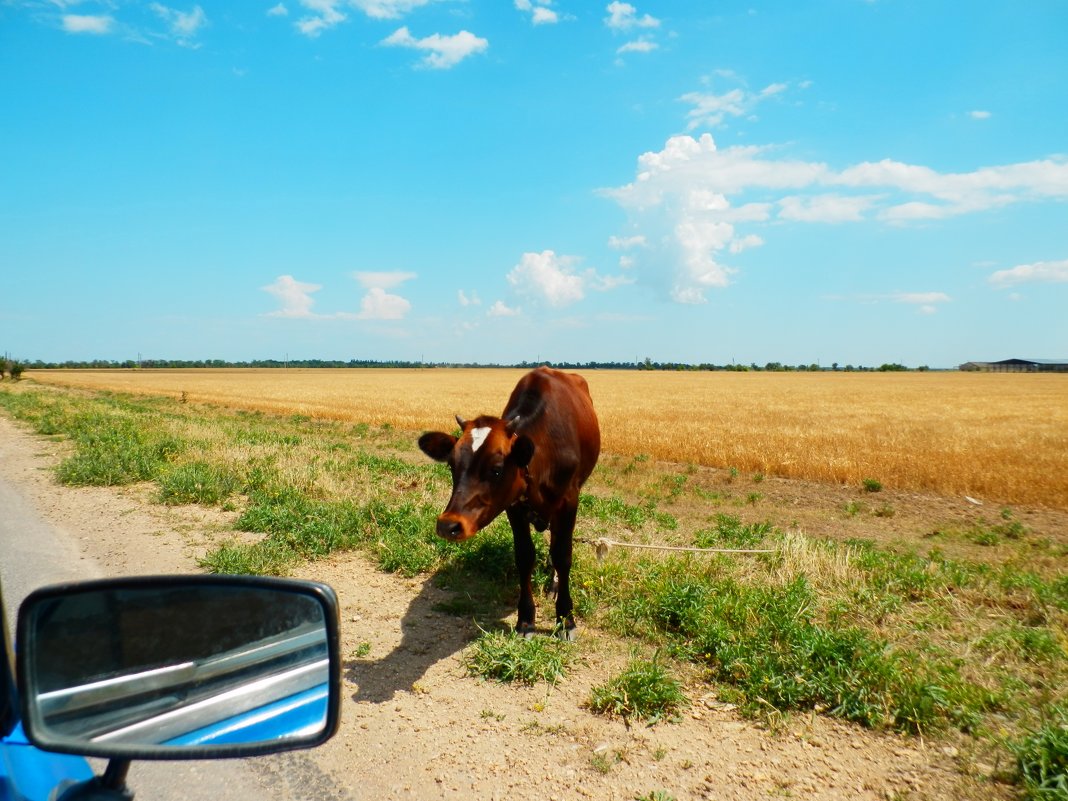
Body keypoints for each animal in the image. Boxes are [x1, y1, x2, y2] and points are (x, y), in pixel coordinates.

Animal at [416, 367, 602, 636]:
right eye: (452, 465)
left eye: (496, 470)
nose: (448, 525)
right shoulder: (514, 506)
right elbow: (524, 556)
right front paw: (525, 619)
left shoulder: (569, 500)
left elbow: (563, 555)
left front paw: (566, 618)